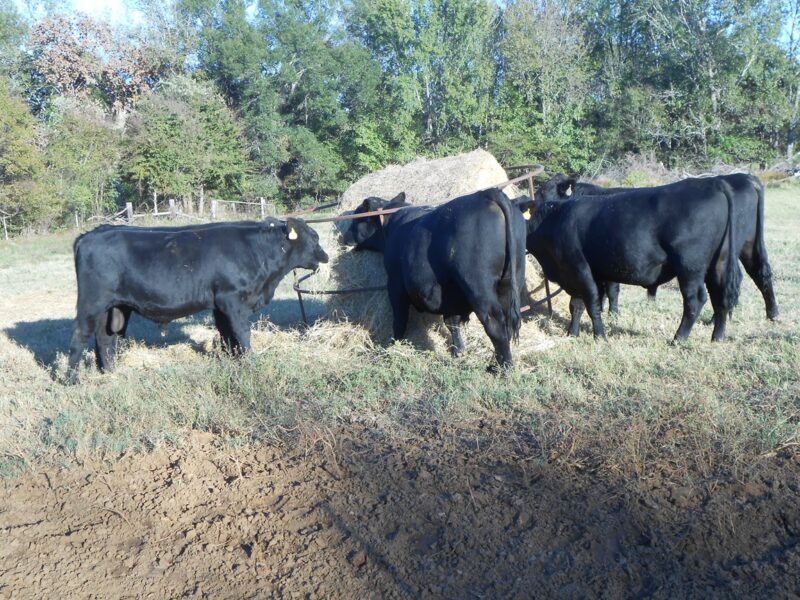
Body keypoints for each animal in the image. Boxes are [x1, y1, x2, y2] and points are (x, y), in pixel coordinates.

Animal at [67, 218, 328, 383]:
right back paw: (72, 380)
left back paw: (110, 373)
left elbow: (227, 336)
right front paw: (249, 363)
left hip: (113, 307)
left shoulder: (220, 306)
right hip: (91, 302)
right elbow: (242, 334)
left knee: (105, 338)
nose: (325, 256)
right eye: (314, 237)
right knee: (79, 336)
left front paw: (233, 362)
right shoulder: (233, 300)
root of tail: (91, 234)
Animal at [338, 188, 527, 369]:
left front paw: (392, 346)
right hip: (510, 282)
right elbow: (451, 322)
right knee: (507, 323)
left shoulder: (395, 284)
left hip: (479, 288)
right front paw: (458, 350)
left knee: (495, 325)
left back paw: (503, 367)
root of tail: (486, 193)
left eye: (356, 219)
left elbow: (399, 319)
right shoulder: (450, 292)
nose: (342, 237)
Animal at [538, 173, 779, 330]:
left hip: (701, 261)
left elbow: (610, 290)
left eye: (544, 194)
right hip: (744, 247)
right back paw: (772, 314)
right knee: (759, 274)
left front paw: (612, 314)